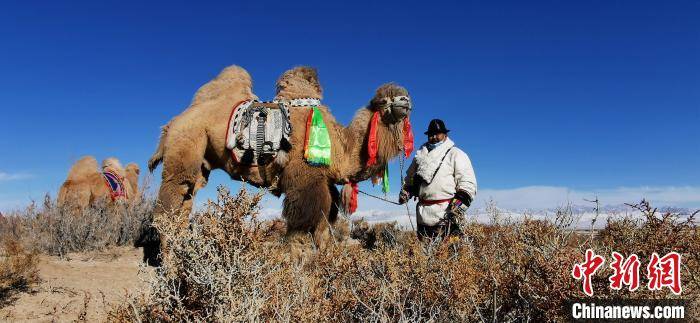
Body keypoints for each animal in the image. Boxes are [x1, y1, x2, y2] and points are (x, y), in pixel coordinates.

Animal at [147, 65, 410, 246]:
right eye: (384, 101)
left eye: (404, 96)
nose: (405, 101)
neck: (339, 149)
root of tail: (172, 123)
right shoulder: (304, 182)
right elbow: (301, 234)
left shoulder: (325, 185)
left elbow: (324, 232)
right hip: (184, 145)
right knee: (168, 209)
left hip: (203, 161)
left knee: (184, 207)